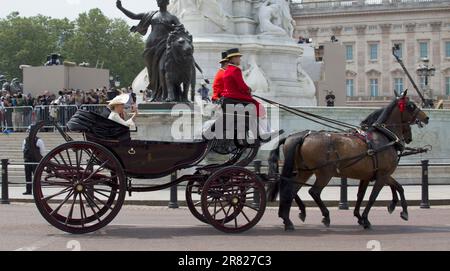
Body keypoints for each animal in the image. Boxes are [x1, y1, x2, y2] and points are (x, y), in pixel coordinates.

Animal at [268, 92, 428, 232]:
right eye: (411, 105)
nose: (426, 117)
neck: (383, 137)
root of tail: (302, 136)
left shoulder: (372, 175)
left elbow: (371, 193)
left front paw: (363, 215)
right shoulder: (382, 175)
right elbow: (373, 197)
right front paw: (366, 218)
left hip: (305, 172)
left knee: (291, 189)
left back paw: (290, 219)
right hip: (324, 173)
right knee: (313, 192)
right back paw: (324, 216)